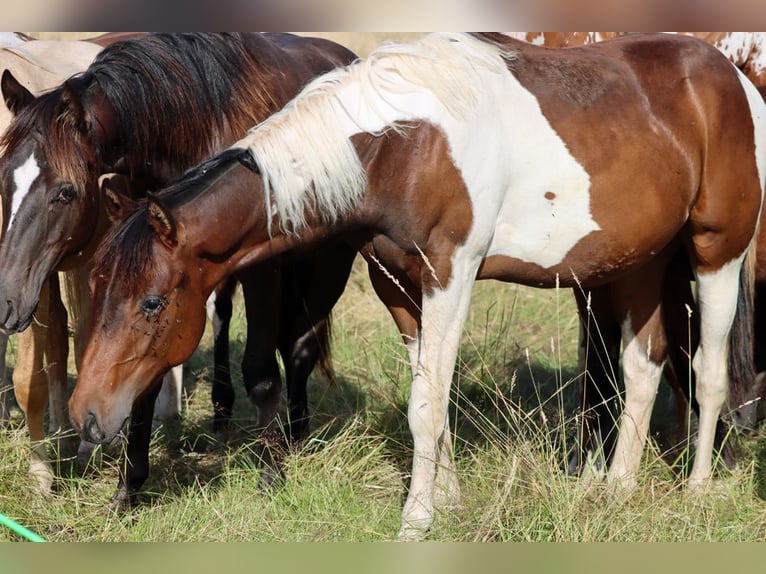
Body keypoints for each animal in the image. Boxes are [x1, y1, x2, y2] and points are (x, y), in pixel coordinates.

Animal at [0, 32, 357, 504]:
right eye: (3, 180)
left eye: (65, 191)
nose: (6, 301)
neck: (199, 123)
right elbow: (144, 375)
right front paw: (129, 487)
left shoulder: (263, 270)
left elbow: (261, 372)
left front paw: (270, 474)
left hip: (331, 261)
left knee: (301, 344)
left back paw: (295, 434)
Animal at [67, 33, 766, 539]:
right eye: (97, 289)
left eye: (152, 302)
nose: (85, 416)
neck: (400, 145)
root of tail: (732, 78)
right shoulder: (397, 287)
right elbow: (429, 394)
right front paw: (447, 500)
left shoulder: (450, 276)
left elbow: (426, 405)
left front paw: (417, 519)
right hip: (640, 262)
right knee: (644, 365)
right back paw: (616, 487)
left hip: (715, 255)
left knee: (707, 372)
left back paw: (698, 488)